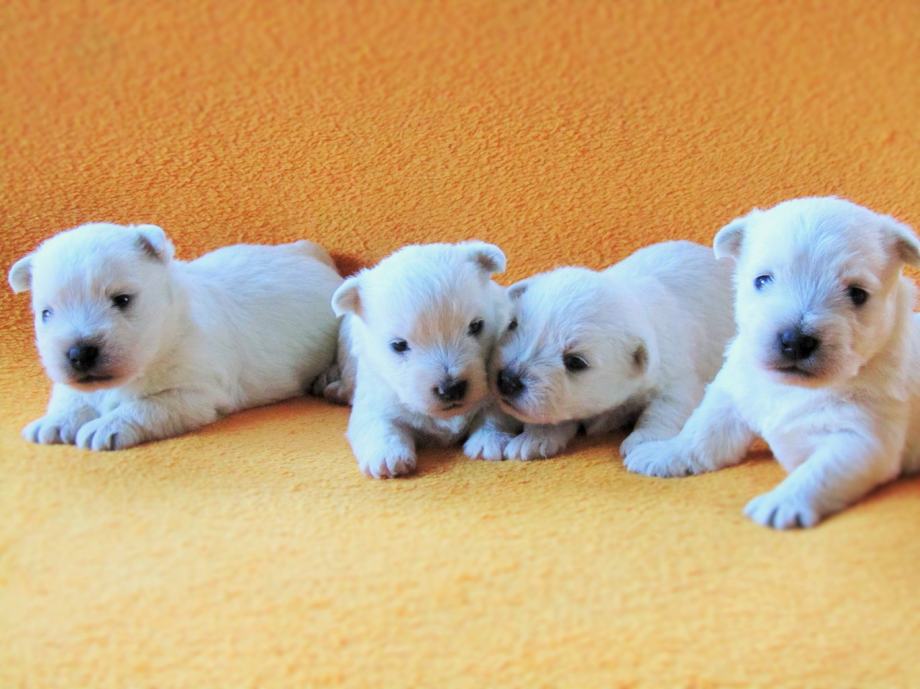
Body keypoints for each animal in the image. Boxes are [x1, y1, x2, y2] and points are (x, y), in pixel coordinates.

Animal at [9, 222, 342, 452]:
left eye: (122, 299)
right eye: (46, 313)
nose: (79, 353)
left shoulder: (194, 393)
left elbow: (147, 407)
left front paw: (105, 425)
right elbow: (71, 396)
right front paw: (54, 422)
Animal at [330, 242, 512, 478]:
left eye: (476, 326)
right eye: (398, 345)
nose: (451, 389)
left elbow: (495, 412)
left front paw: (489, 440)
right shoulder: (376, 397)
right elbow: (379, 424)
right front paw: (388, 456)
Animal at [486, 239, 736, 460]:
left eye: (575, 361)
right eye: (513, 324)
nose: (507, 380)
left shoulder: (677, 376)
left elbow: (666, 408)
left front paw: (642, 441)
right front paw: (534, 438)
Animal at [624, 196, 920, 528]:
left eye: (857, 293)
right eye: (763, 280)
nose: (795, 341)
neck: (793, 389)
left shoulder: (862, 435)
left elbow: (822, 470)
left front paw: (783, 502)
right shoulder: (735, 393)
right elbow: (703, 430)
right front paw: (664, 452)